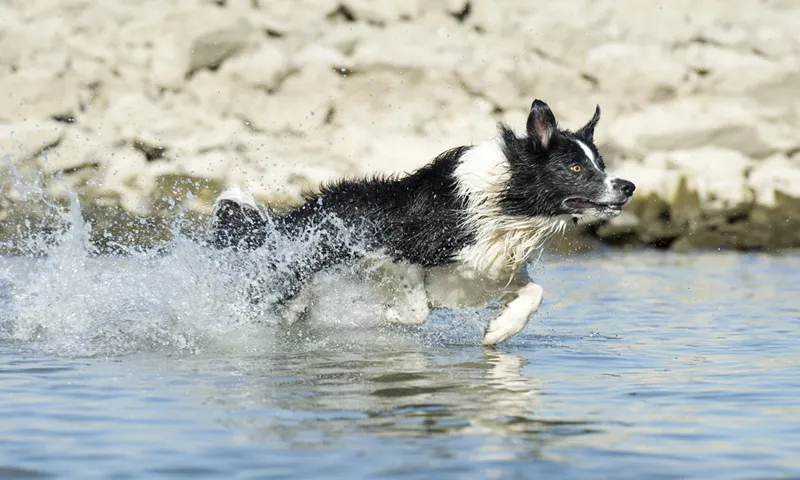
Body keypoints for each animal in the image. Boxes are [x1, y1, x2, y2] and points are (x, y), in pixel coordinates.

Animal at [209, 99, 636, 344]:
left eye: (601, 164)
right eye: (576, 168)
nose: (628, 186)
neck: (505, 203)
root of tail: (293, 217)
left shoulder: (490, 268)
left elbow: (535, 293)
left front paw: (499, 330)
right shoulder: (397, 251)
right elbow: (417, 310)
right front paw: (387, 315)